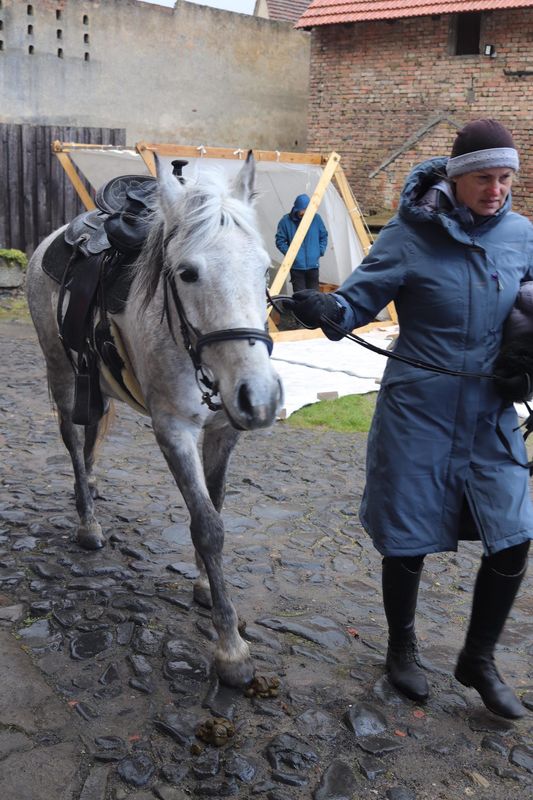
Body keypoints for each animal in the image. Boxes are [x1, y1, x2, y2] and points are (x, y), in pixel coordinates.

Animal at [26, 156, 282, 688]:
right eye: (187, 273)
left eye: (265, 268)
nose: (259, 397)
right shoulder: (174, 431)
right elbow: (207, 525)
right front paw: (231, 649)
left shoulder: (223, 432)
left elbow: (216, 507)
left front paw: (205, 583)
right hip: (61, 373)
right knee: (71, 441)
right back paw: (88, 521)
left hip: (96, 383)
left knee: (91, 432)